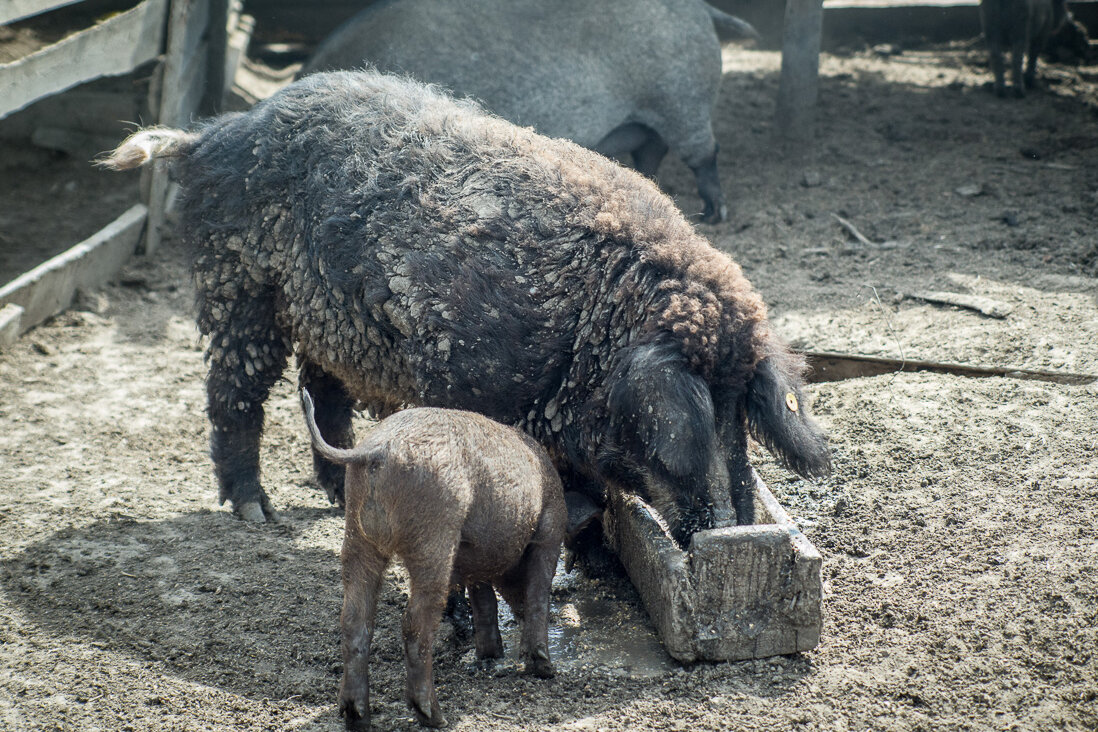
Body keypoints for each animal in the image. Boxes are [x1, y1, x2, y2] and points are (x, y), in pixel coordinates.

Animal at [98, 68, 825, 546]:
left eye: (740, 411)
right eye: (690, 416)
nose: (730, 530)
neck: (588, 326)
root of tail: (209, 137)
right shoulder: (461, 374)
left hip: (328, 321)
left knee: (320, 395)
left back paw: (336, 500)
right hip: (238, 288)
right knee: (234, 394)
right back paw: (256, 512)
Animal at [300, 0, 764, 224]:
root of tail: (701, 9)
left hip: (682, 100)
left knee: (704, 155)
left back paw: (714, 216)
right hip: (650, 119)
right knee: (652, 154)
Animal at [300, 388, 566, 728]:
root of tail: (375, 450)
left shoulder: (473, 558)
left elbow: (484, 602)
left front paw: (491, 656)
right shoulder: (550, 531)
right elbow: (538, 594)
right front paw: (545, 669)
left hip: (357, 537)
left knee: (353, 619)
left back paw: (357, 717)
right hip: (433, 537)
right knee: (414, 623)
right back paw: (435, 717)